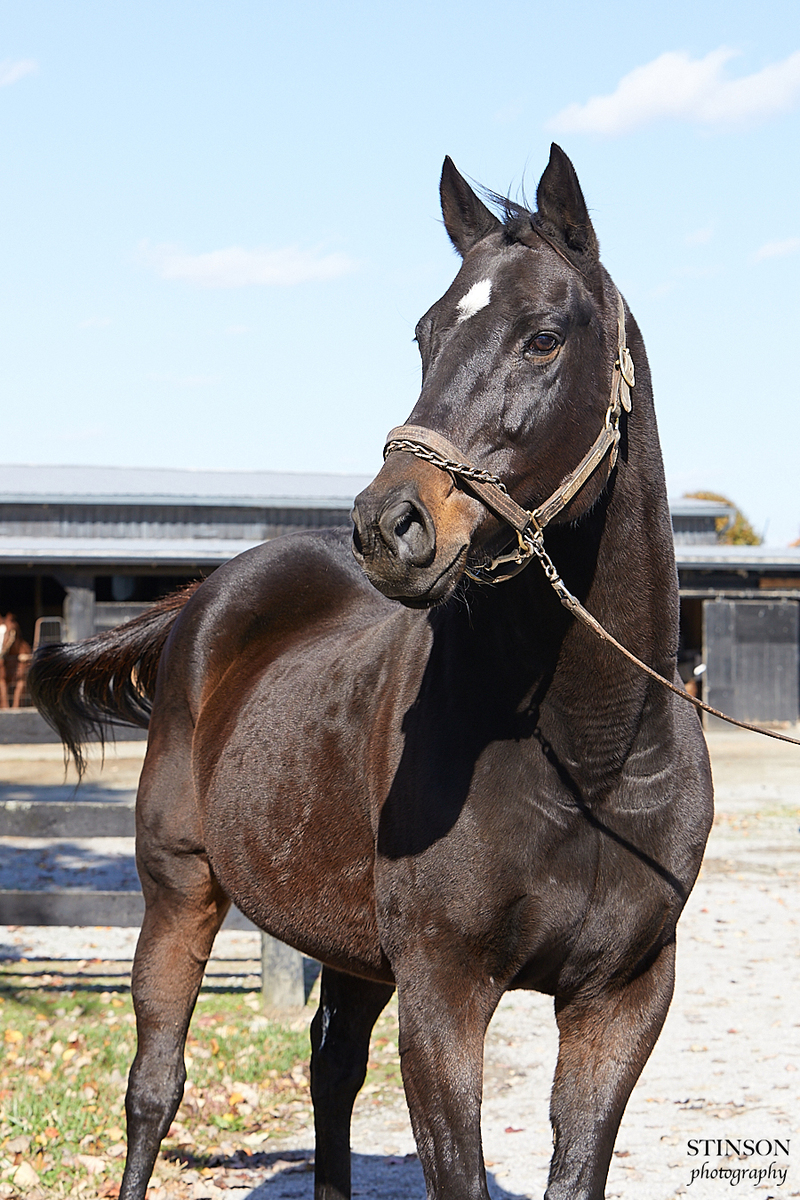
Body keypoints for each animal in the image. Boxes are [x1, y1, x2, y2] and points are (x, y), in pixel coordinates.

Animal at [30, 144, 714, 1200]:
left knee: (331, 1065)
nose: (391, 524)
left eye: (544, 338)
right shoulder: (443, 993)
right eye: (426, 336)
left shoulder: (624, 998)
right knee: (154, 1085)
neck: (590, 756)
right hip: (180, 889)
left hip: (348, 943)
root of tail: (206, 600)